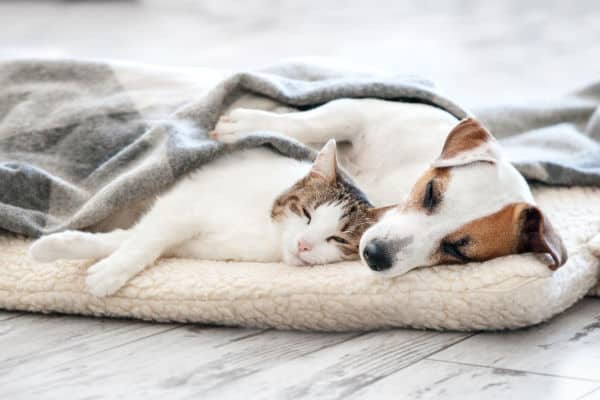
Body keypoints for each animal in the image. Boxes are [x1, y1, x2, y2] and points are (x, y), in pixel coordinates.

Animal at [29, 139, 390, 296]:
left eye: (337, 239)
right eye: (306, 214)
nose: (303, 244)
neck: (264, 234)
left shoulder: (186, 238)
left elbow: (126, 240)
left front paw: (69, 251)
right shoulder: (181, 207)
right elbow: (144, 242)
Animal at [212, 98, 568, 276]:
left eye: (457, 251)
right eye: (430, 192)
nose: (374, 255)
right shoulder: (364, 111)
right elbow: (316, 121)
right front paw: (245, 124)